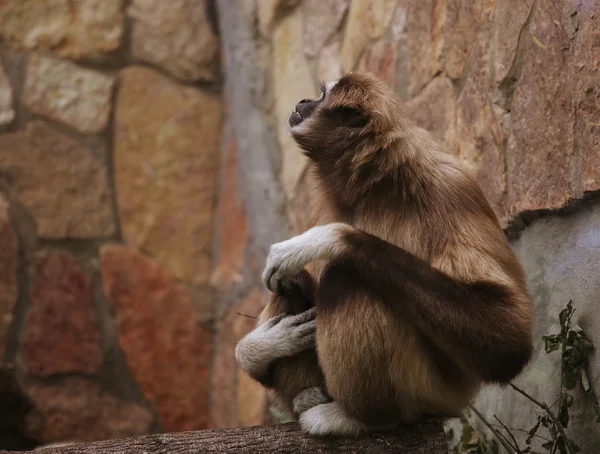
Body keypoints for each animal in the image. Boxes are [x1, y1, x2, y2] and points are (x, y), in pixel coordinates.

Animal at [234, 73, 536, 436]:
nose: (304, 101)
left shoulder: (451, 185)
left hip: (428, 391)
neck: (373, 183)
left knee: (346, 277)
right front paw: (259, 349)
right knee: (294, 282)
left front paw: (323, 240)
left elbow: (507, 341)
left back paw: (360, 419)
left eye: (321, 97)